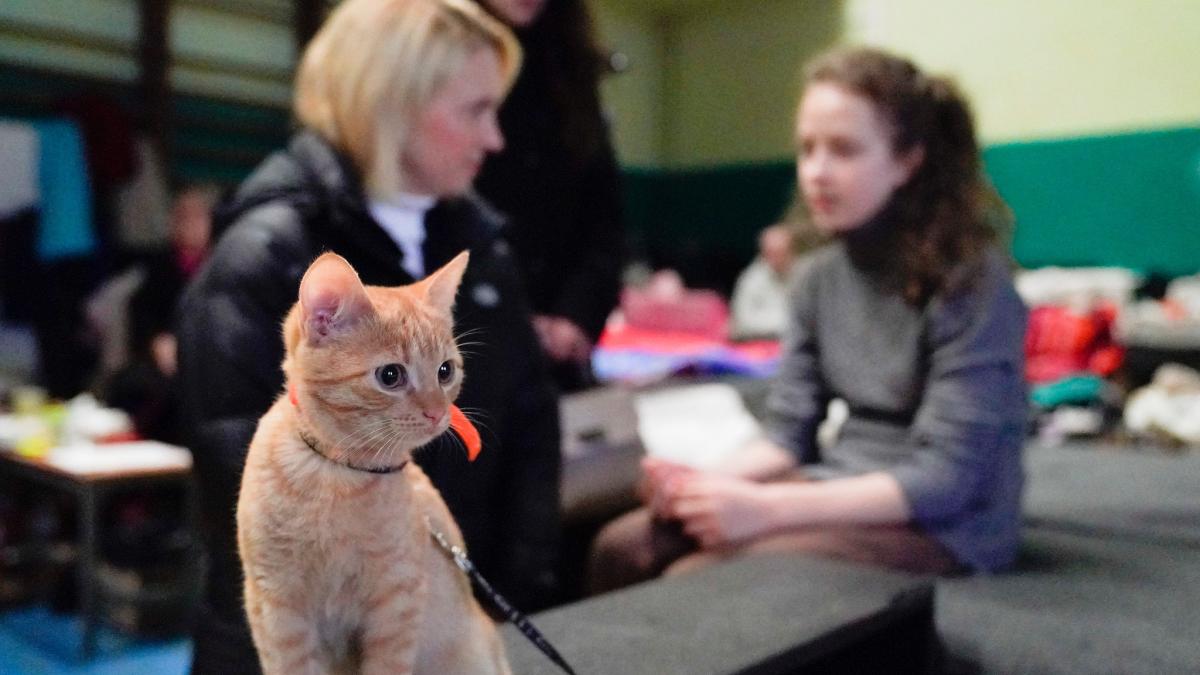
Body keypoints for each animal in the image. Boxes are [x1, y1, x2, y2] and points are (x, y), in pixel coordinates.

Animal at [236, 251, 508, 672]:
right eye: (390, 375)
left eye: (445, 371)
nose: (437, 413)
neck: (336, 474)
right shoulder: (275, 605)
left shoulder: (396, 603)